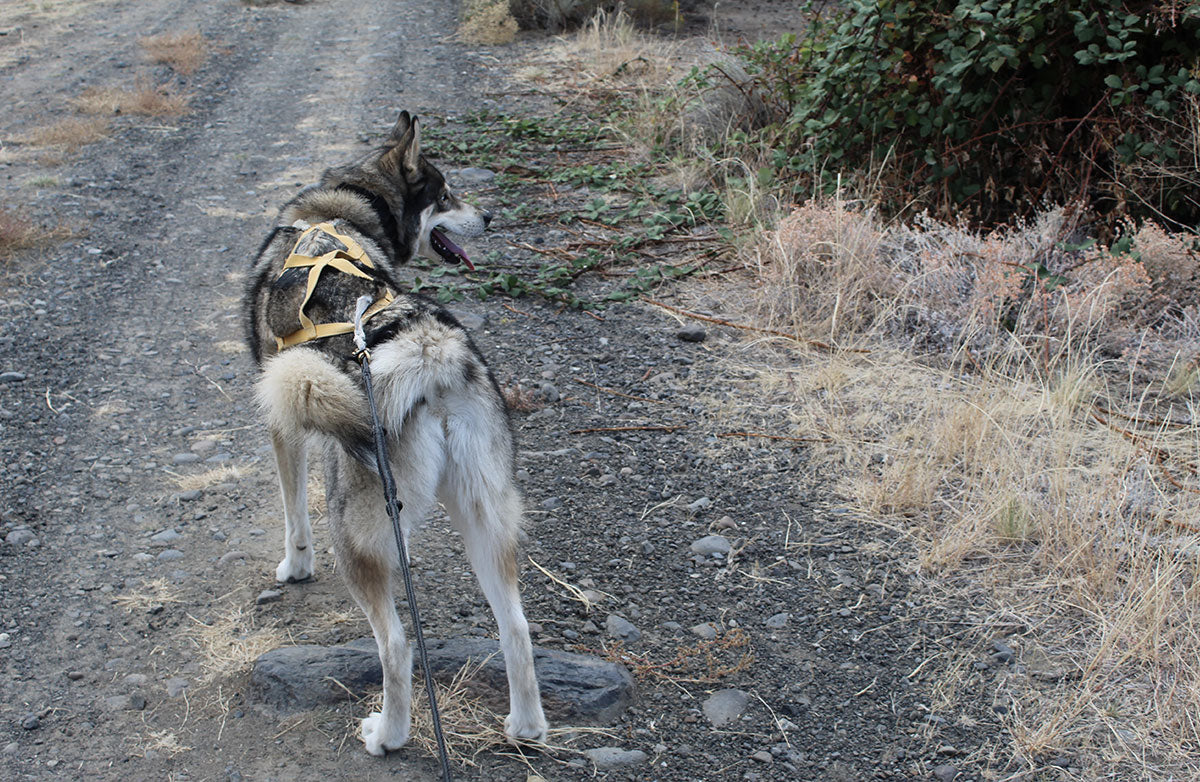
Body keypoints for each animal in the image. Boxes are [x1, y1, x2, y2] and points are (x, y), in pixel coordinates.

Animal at [240, 111, 549, 758]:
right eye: (446, 194)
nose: (490, 217)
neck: (340, 209)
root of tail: (427, 353)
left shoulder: (282, 422)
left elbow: (292, 515)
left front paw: (294, 567)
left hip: (356, 532)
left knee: (397, 645)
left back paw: (388, 734)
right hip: (483, 518)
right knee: (515, 627)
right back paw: (527, 728)